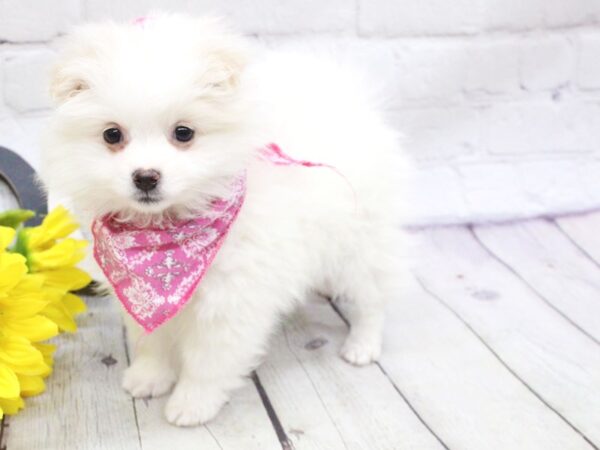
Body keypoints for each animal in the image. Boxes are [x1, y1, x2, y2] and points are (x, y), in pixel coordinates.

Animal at [41, 12, 408, 424]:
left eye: (184, 132)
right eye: (112, 135)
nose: (146, 176)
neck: (166, 233)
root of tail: (347, 101)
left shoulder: (231, 300)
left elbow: (208, 362)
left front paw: (192, 404)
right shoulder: (138, 297)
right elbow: (150, 340)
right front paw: (149, 378)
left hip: (362, 241)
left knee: (372, 297)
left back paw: (363, 345)